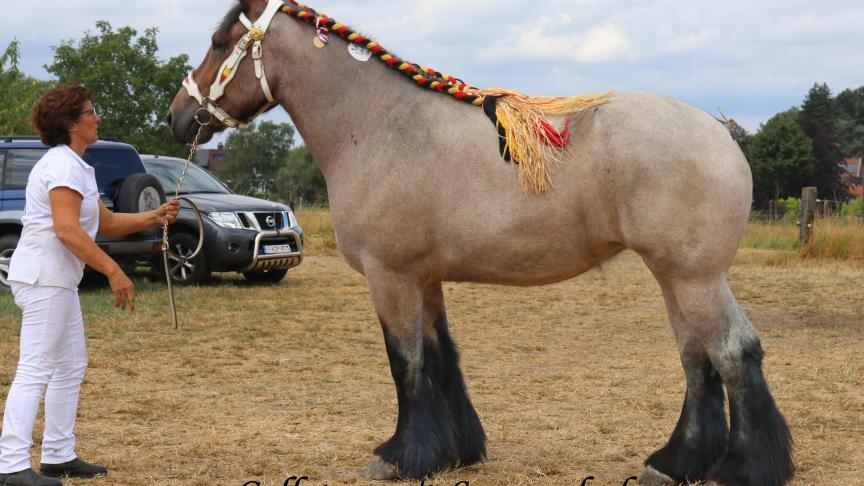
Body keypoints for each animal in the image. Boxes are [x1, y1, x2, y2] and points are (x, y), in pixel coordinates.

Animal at [169, 1, 796, 484]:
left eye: (218, 40)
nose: (178, 116)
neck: (379, 125)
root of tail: (720, 132)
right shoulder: (423, 279)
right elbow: (442, 357)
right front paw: (454, 452)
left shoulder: (390, 276)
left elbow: (406, 362)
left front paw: (399, 456)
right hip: (675, 277)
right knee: (698, 359)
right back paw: (674, 462)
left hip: (694, 277)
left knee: (732, 353)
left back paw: (742, 467)